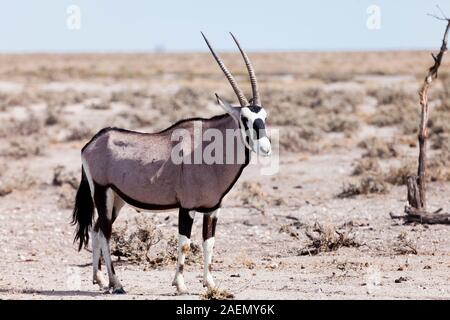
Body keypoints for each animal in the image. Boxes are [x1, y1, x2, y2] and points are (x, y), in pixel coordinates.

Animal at [72, 33, 272, 296]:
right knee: (105, 233)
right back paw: (117, 284)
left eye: (264, 117)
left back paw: (100, 280)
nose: (265, 147)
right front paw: (180, 285)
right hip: (102, 192)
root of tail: (92, 143)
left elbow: (209, 243)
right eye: (245, 118)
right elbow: (185, 244)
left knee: (96, 231)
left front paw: (210, 283)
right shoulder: (187, 207)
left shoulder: (213, 208)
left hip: (116, 199)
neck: (211, 148)